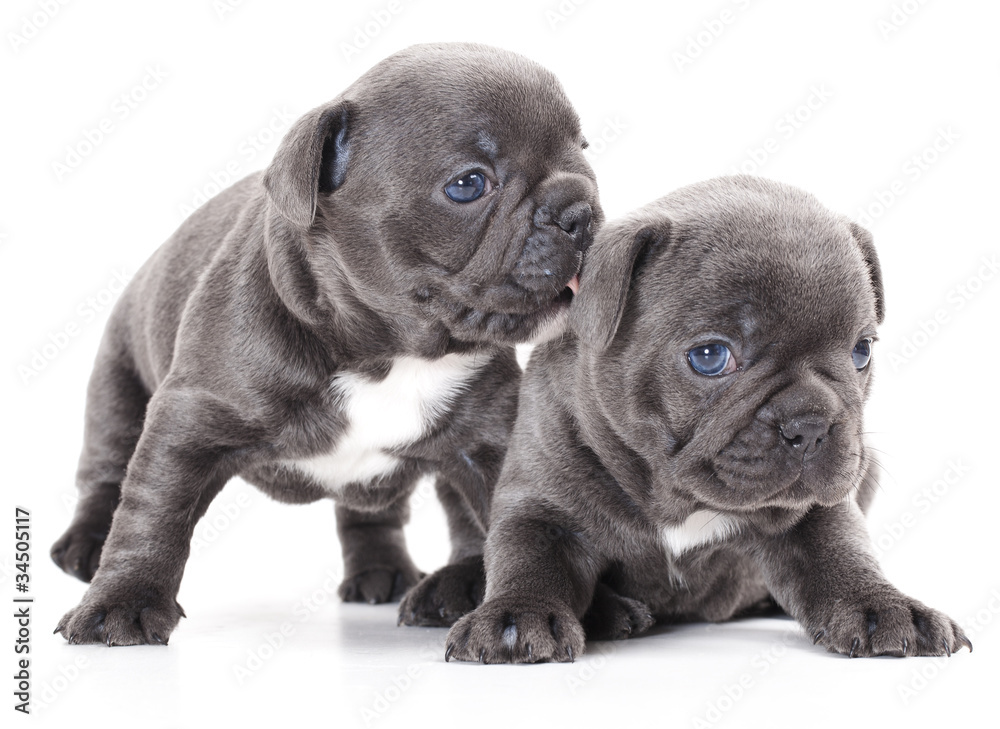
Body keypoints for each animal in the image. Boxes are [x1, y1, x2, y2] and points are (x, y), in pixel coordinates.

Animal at [50, 41, 596, 644]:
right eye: (468, 184)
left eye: (584, 151)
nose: (580, 210)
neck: (387, 352)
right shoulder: (189, 419)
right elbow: (152, 512)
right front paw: (123, 601)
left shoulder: (492, 436)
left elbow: (521, 525)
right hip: (117, 378)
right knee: (107, 468)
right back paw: (85, 545)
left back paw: (414, 577)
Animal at [444, 175, 968, 660]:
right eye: (710, 356)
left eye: (862, 351)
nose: (811, 424)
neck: (675, 495)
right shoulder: (541, 504)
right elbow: (529, 561)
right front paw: (516, 617)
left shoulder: (817, 510)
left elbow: (843, 553)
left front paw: (887, 607)